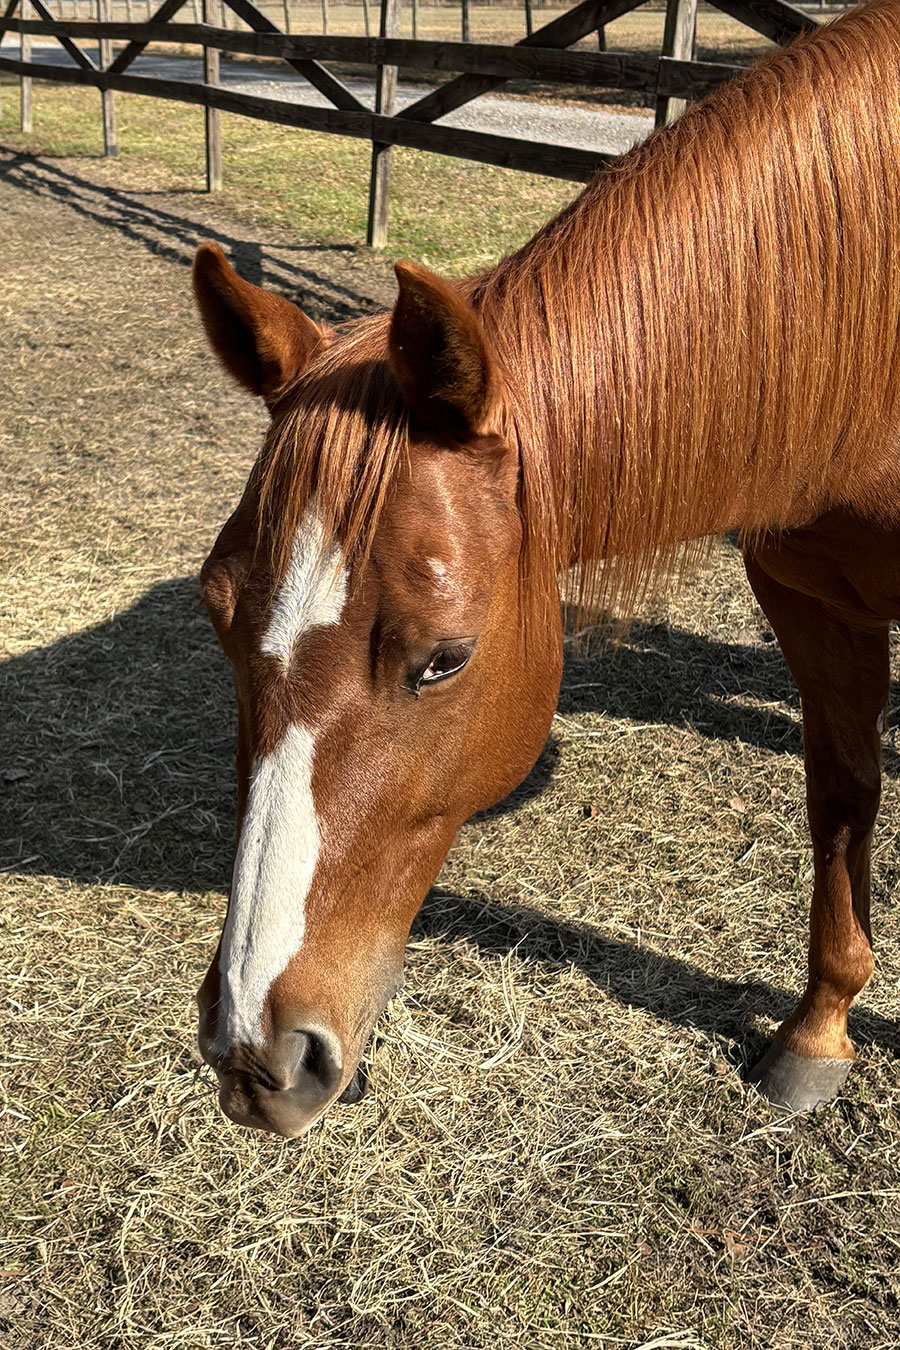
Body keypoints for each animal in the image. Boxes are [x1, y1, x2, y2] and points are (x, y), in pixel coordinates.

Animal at [192, 0, 900, 1137]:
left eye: (444, 659)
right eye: (215, 615)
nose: (256, 1054)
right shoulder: (807, 596)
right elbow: (841, 792)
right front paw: (819, 1029)